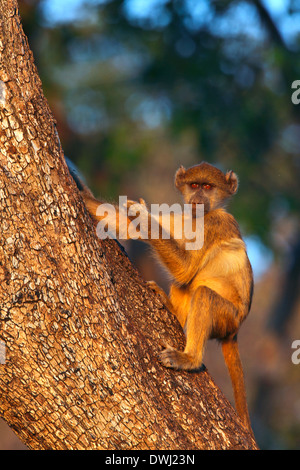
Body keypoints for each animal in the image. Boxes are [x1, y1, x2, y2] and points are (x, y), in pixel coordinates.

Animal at [65, 158, 253, 436]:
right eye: (194, 185)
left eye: (208, 187)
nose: (198, 198)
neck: (198, 219)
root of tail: (236, 330)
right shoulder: (182, 218)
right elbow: (123, 224)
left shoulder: (216, 224)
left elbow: (186, 268)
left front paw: (142, 214)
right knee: (186, 286)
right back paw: (170, 307)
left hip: (228, 317)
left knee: (203, 293)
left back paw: (189, 359)